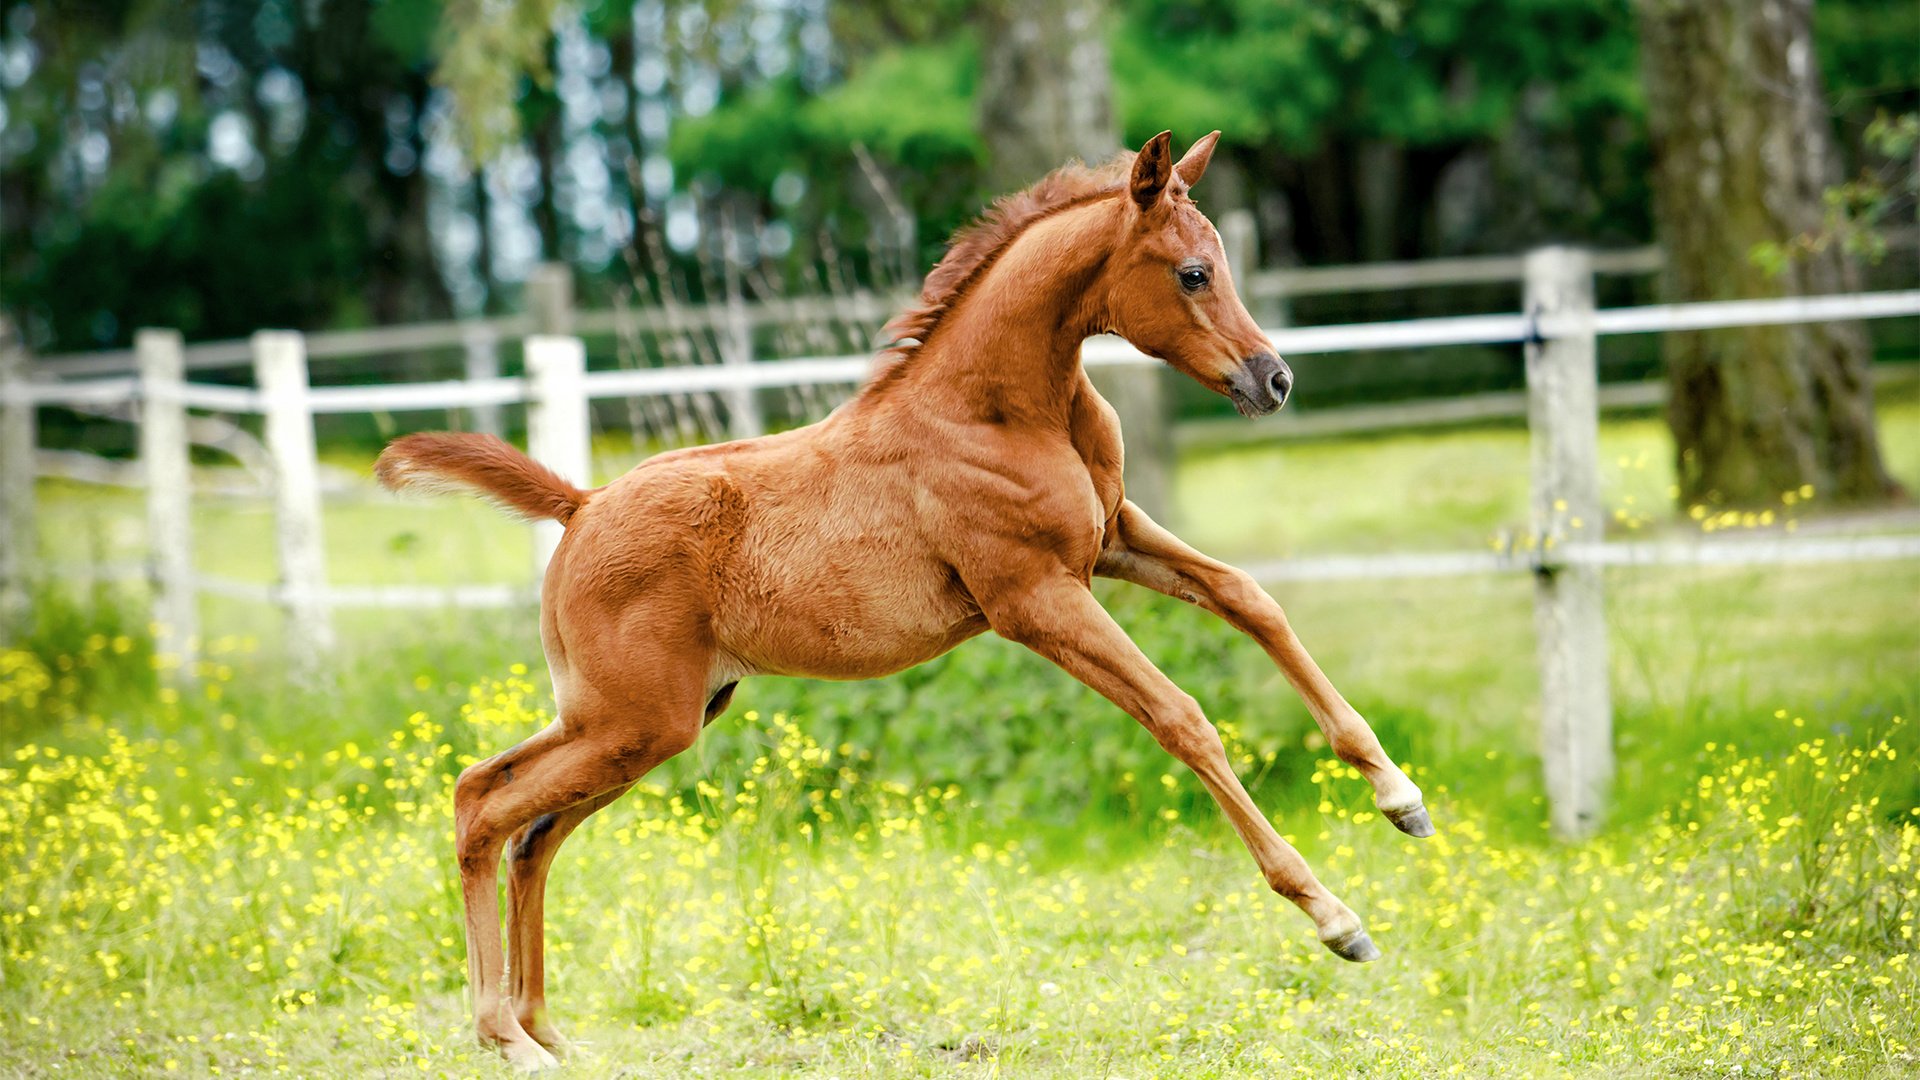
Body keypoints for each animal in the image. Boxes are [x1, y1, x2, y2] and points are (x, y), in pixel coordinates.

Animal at [378, 130, 1428, 1060]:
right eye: (1194, 274)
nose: (1274, 379)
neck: (995, 409)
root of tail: (581, 502)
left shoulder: (1114, 541)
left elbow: (1251, 599)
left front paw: (1400, 797)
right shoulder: (1035, 598)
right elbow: (1183, 717)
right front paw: (1336, 919)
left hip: (644, 720)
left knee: (526, 829)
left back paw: (546, 1030)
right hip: (634, 720)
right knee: (482, 806)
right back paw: (504, 1036)